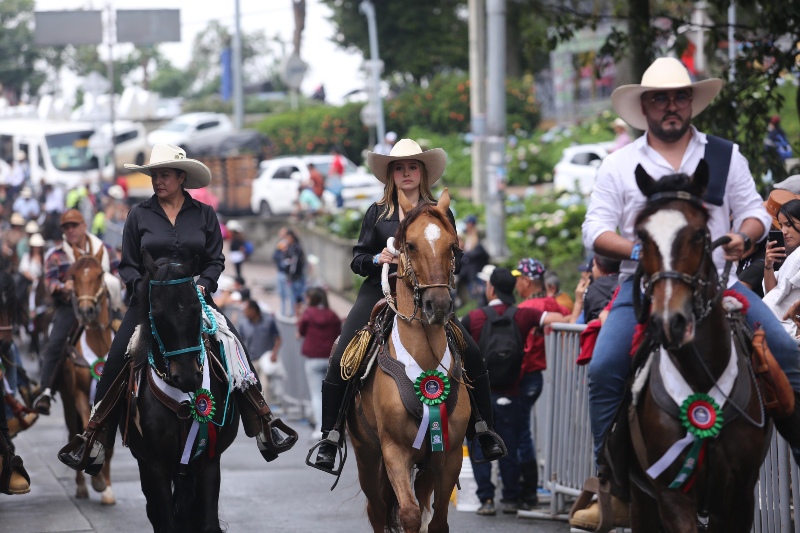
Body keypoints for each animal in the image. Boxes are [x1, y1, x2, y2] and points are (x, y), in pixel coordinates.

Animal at [126, 252, 239, 532]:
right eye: (156, 313)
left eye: (196, 308)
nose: (188, 376)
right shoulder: (155, 465)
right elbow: (166, 522)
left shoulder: (208, 461)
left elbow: (208, 523)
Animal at [348, 190, 472, 532]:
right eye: (411, 245)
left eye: (453, 246)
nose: (438, 305)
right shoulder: (394, 451)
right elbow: (408, 514)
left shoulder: (449, 454)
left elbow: (437, 520)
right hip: (366, 454)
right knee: (378, 510)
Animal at [624, 163, 768, 532]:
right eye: (642, 236)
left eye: (700, 234)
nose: (669, 321)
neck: (703, 378)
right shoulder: (670, 494)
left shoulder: (741, 496)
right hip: (640, 500)